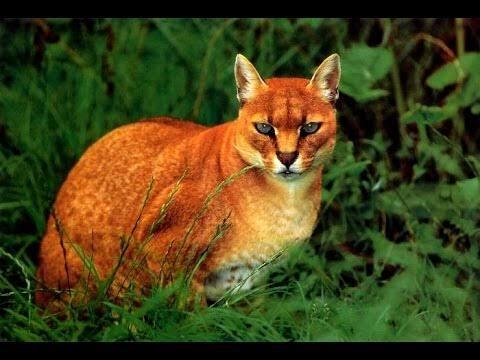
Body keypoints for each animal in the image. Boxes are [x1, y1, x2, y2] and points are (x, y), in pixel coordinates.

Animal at [34, 52, 342, 310]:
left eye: (309, 128)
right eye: (265, 128)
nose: (287, 157)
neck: (287, 200)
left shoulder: (248, 281)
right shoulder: (167, 259)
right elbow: (192, 316)